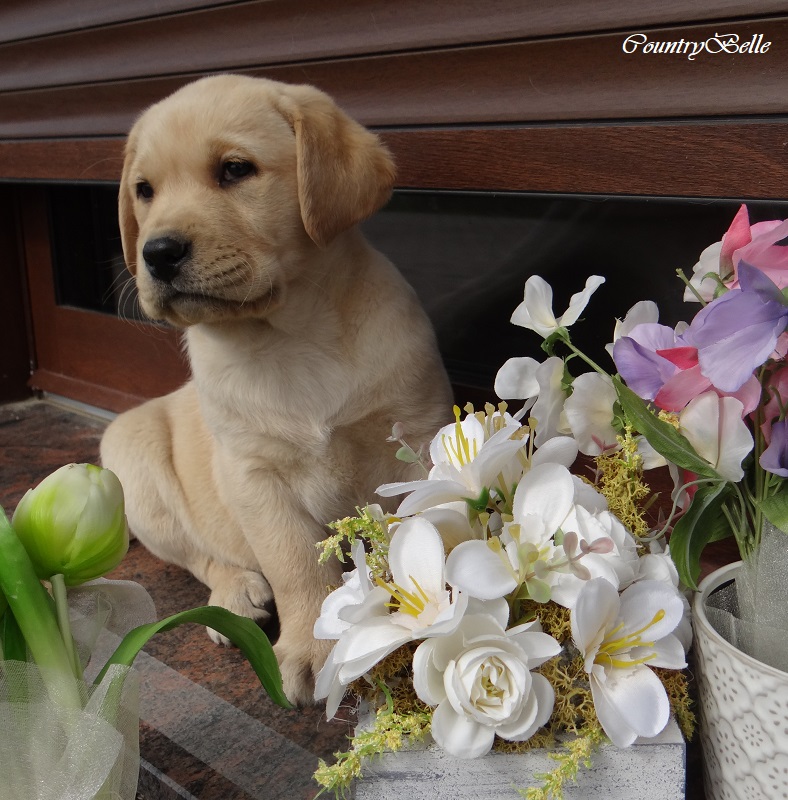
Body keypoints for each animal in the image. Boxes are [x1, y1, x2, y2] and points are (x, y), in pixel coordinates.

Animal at [100, 74, 453, 705]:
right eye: (144, 190)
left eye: (235, 170)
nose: (157, 252)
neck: (290, 335)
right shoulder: (253, 475)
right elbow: (294, 565)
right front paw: (314, 649)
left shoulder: (415, 432)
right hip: (133, 467)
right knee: (202, 555)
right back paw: (235, 596)